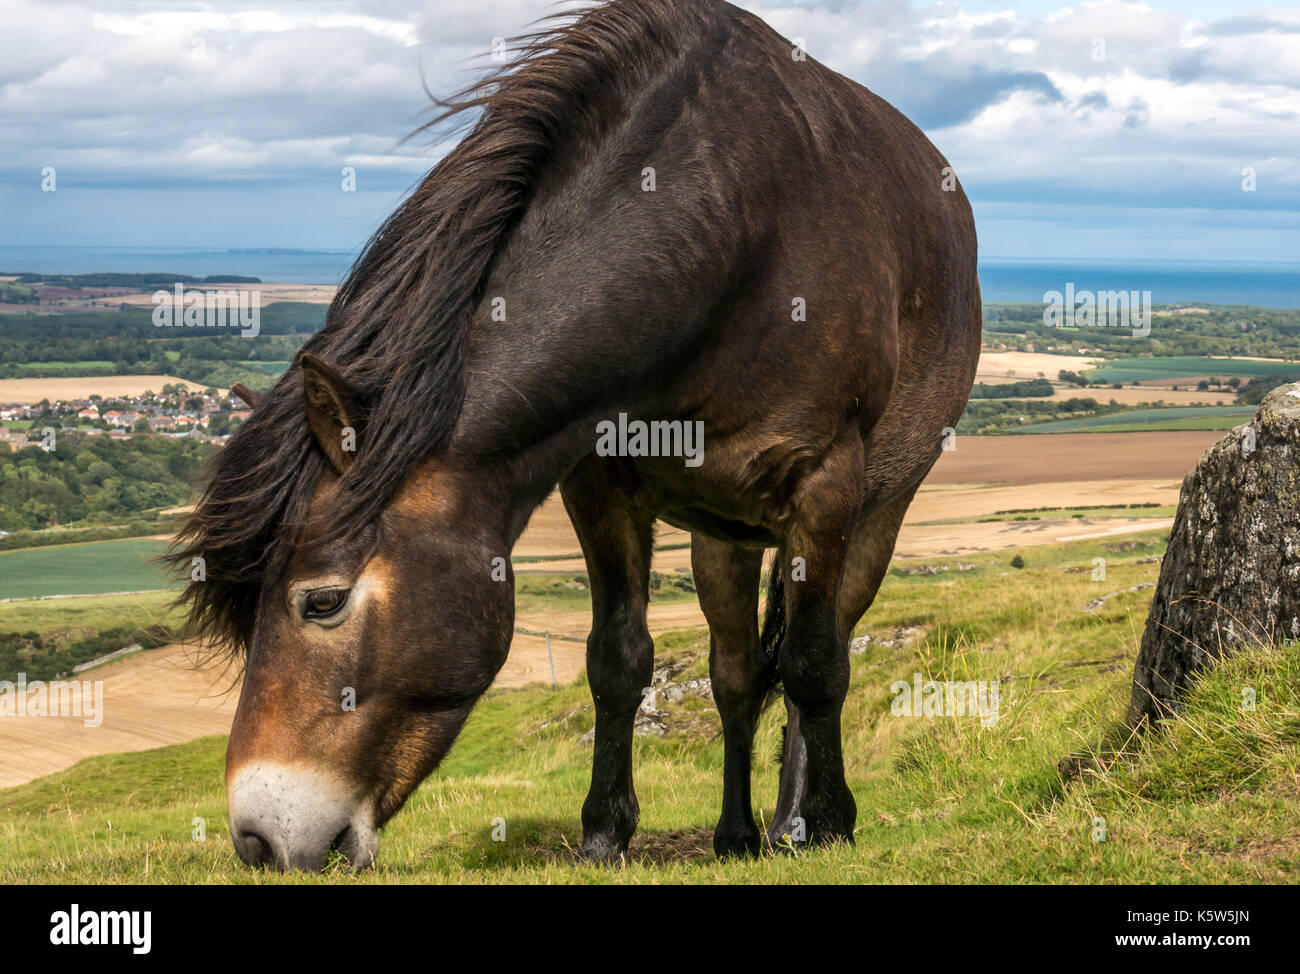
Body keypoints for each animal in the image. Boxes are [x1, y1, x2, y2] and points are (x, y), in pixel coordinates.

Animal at [175, 0, 982, 868]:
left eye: (320, 601)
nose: (256, 838)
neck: (727, 230)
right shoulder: (601, 486)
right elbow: (618, 660)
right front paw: (603, 832)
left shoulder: (825, 487)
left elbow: (814, 662)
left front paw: (828, 822)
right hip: (723, 538)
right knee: (735, 672)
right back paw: (739, 833)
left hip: (873, 515)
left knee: (822, 646)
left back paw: (794, 822)